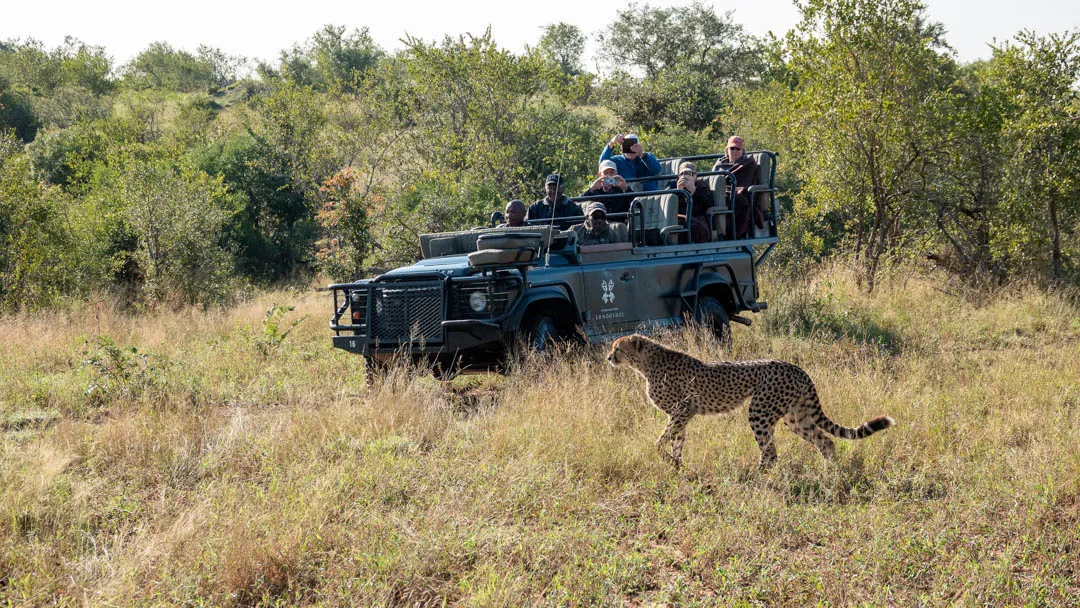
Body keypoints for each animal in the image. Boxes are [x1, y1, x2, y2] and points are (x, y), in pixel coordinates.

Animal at [607, 334, 894, 469]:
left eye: (617, 348)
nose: (608, 357)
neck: (646, 363)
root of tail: (794, 367)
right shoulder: (682, 415)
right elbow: (677, 440)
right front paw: (676, 465)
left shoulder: (682, 410)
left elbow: (663, 438)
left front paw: (665, 457)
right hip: (795, 417)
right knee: (826, 441)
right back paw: (829, 472)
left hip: (760, 411)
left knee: (771, 453)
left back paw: (756, 477)